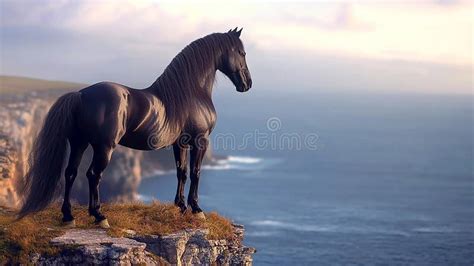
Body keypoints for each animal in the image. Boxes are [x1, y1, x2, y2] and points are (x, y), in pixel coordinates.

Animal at [18, 28, 252, 227]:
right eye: (242, 53)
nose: (247, 84)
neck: (191, 92)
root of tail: (81, 95)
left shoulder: (181, 142)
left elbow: (182, 172)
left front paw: (181, 206)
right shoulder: (200, 140)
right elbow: (196, 172)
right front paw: (196, 209)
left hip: (79, 143)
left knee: (70, 173)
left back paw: (68, 216)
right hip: (104, 147)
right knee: (93, 175)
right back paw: (99, 216)